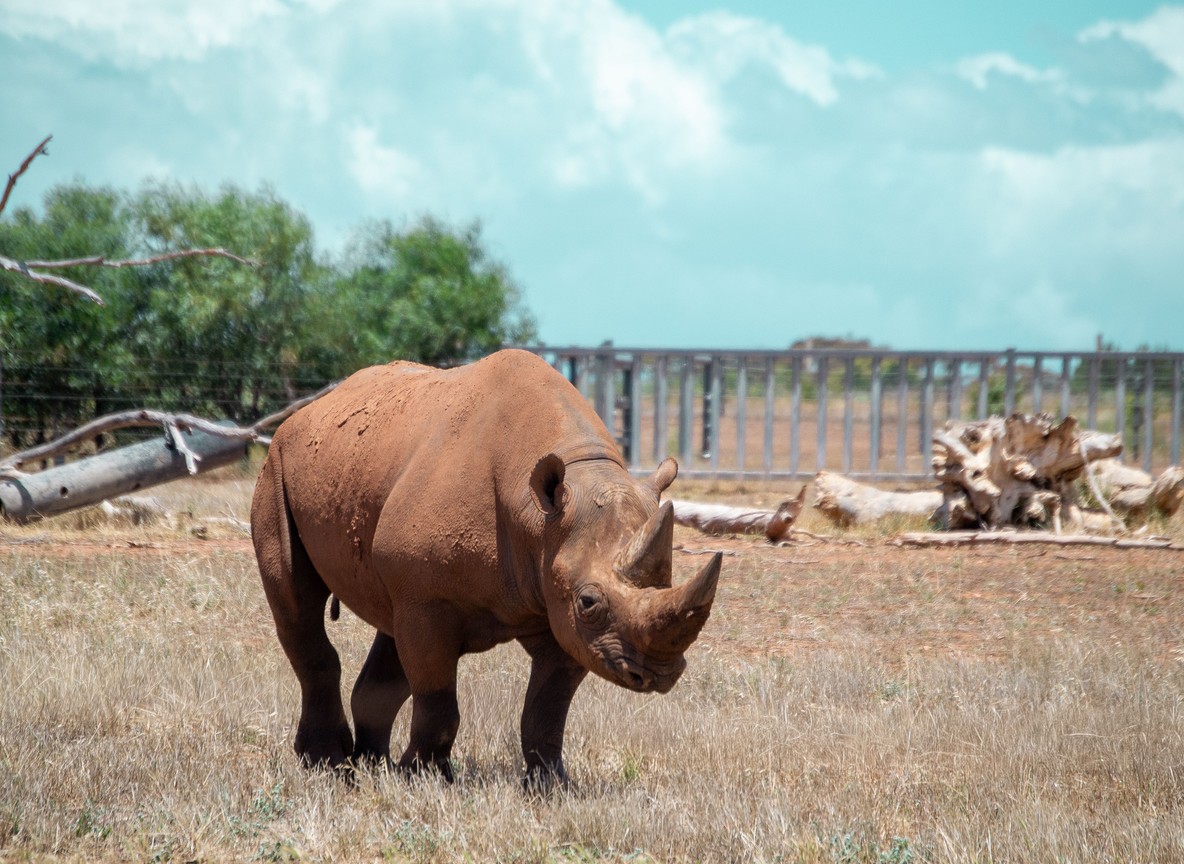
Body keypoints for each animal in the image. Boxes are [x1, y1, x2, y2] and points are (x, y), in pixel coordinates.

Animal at [250, 348, 722, 786]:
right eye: (589, 602)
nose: (658, 674)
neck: (539, 515)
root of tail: (309, 411)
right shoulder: (433, 600)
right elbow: (438, 699)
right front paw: (426, 780)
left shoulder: (558, 606)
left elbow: (547, 709)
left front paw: (552, 787)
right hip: (277, 465)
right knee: (298, 605)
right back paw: (330, 766)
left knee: (388, 628)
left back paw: (370, 765)